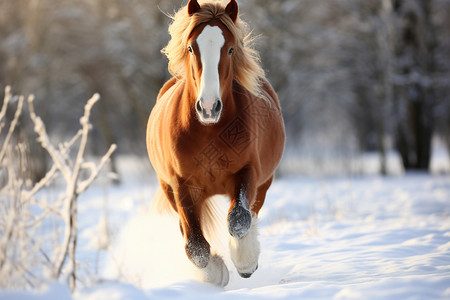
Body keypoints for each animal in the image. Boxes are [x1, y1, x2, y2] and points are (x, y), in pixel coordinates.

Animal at [147, 0, 284, 286]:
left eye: (230, 48)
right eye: (191, 47)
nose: (209, 107)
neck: (209, 132)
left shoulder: (248, 173)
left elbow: (238, 219)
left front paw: (245, 262)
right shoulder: (182, 185)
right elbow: (195, 245)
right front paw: (216, 273)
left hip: (264, 183)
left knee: (251, 214)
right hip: (169, 190)